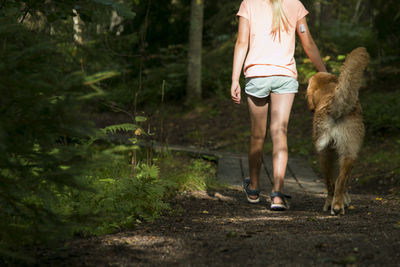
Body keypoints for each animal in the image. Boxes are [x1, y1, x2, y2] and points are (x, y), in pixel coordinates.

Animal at [308, 47, 370, 216]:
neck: (328, 90)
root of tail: (335, 107)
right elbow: (344, 181)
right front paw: (346, 200)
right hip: (348, 153)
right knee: (339, 181)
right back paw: (337, 206)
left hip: (325, 155)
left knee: (331, 183)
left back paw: (331, 205)